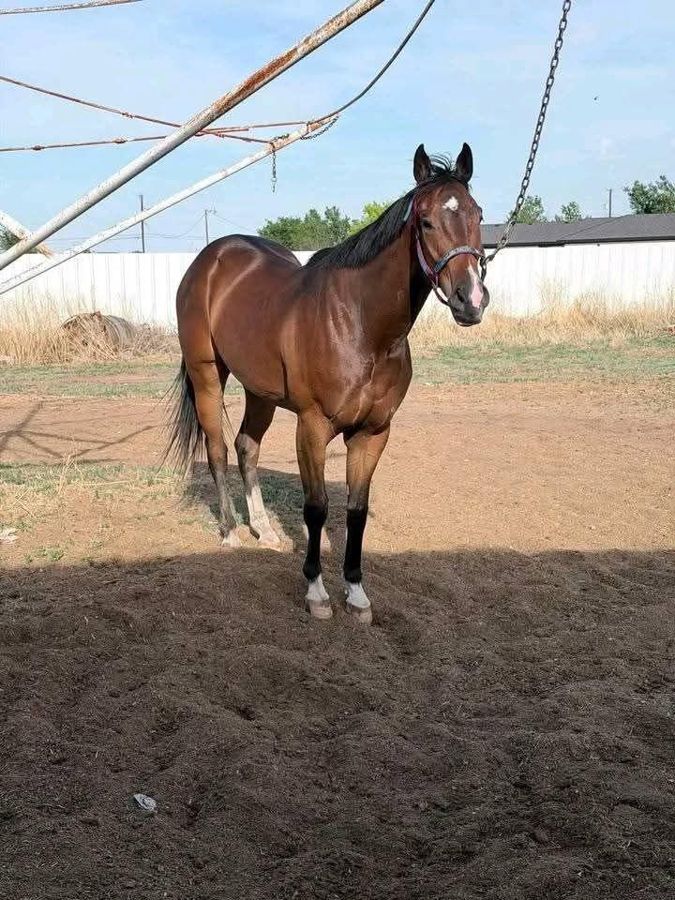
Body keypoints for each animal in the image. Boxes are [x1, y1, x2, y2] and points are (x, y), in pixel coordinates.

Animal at [168, 142, 489, 624]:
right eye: (426, 221)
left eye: (478, 213)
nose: (471, 300)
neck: (362, 324)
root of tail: (208, 261)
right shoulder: (312, 426)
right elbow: (316, 508)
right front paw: (316, 592)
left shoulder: (374, 432)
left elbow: (356, 510)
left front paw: (356, 593)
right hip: (207, 373)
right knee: (218, 450)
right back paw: (230, 532)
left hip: (260, 391)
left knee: (247, 447)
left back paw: (264, 530)